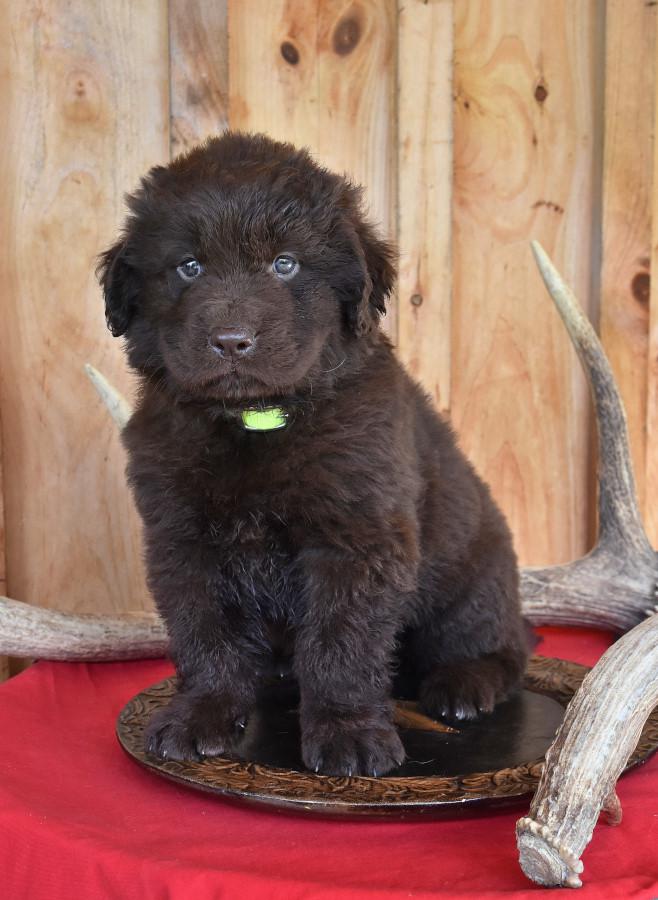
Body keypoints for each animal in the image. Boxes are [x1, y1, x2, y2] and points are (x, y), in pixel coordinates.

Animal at [98, 130, 528, 776]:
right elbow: (205, 633)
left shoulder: (354, 540)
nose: (231, 342)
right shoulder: (183, 539)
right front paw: (202, 715)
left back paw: (464, 683)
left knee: (503, 646)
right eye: (189, 266)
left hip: (476, 572)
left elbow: (341, 642)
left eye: (285, 263)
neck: (257, 424)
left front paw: (348, 733)